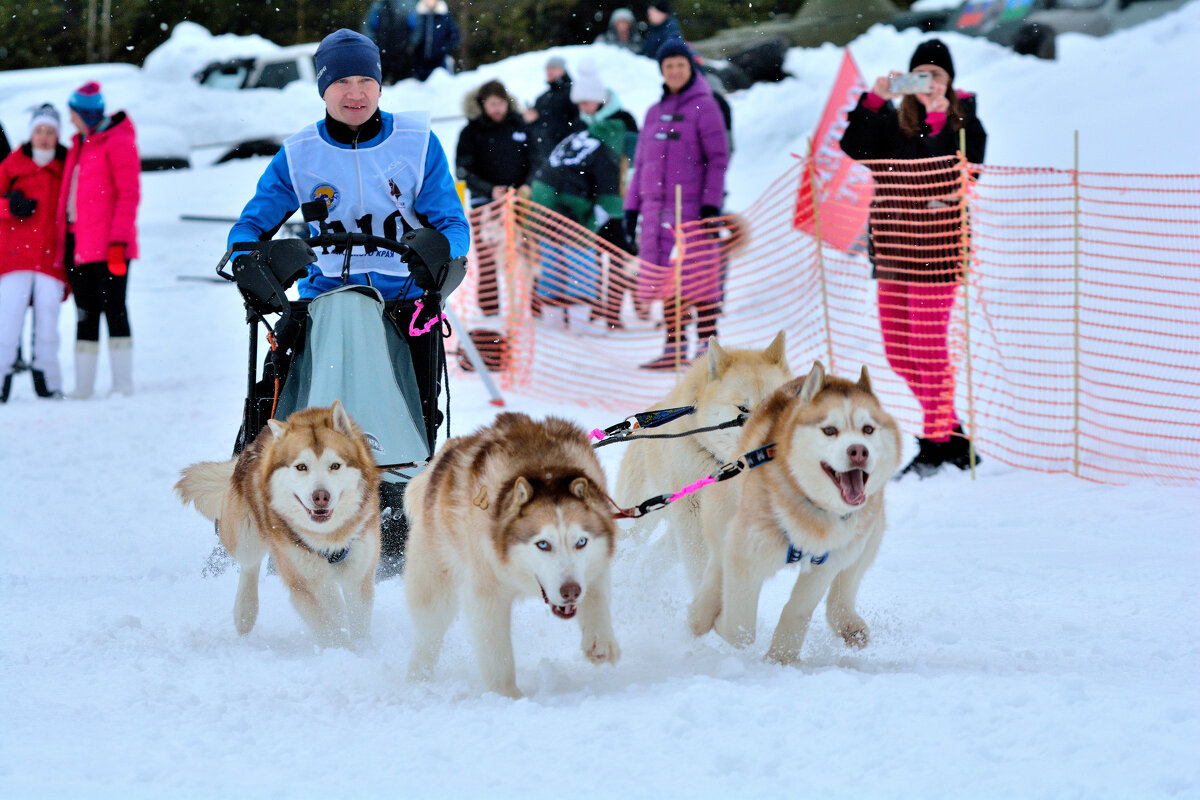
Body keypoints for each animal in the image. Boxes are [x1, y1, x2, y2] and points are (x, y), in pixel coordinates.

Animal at [172, 402, 379, 647]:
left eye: (335, 465)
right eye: (301, 467)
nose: (321, 496)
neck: (329, 538)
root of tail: (254, 441)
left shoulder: (359, 570)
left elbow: (357, 619)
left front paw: (362, 647)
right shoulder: (303, 579)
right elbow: (330, 626)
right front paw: (343, 651)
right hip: (245, 538)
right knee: (249, 564)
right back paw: (245, 612)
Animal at [408, 417, 624, 695]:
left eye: (581, 542)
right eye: (543, 544)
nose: (571, 591)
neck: (544, 468)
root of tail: (441, 457)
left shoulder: (594, 563)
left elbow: (596, 596)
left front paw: (600, 640)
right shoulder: (486, 593)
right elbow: (497, 652)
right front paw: (507, 695)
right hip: (436, 584)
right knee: (427, 635)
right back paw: (417, 678)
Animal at [691, 362, 897, 662]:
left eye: (868, 429)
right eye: (829, 430)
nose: (859, 451)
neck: (810, 508)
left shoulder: (827, 561)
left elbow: (797, 609)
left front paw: (781, 658)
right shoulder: (747, 552)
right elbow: (740, 629)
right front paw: (722, 625)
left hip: (867, 537)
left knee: (845, 585)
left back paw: (849, 624)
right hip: (725, 516)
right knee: (717, 563)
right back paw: (701, 614)